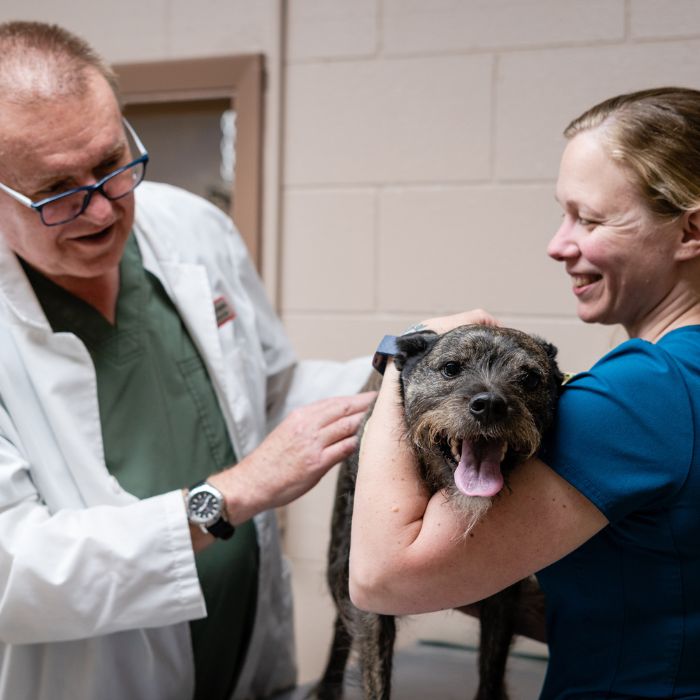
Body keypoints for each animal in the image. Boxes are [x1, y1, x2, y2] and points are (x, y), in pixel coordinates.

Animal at [310, 326, 564, 700]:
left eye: (530, 378)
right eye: (451, 368)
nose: (490, 405)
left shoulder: (503, 599)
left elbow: (492, 669)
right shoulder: (370, 596)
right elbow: (375, 678)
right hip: (340, 564)